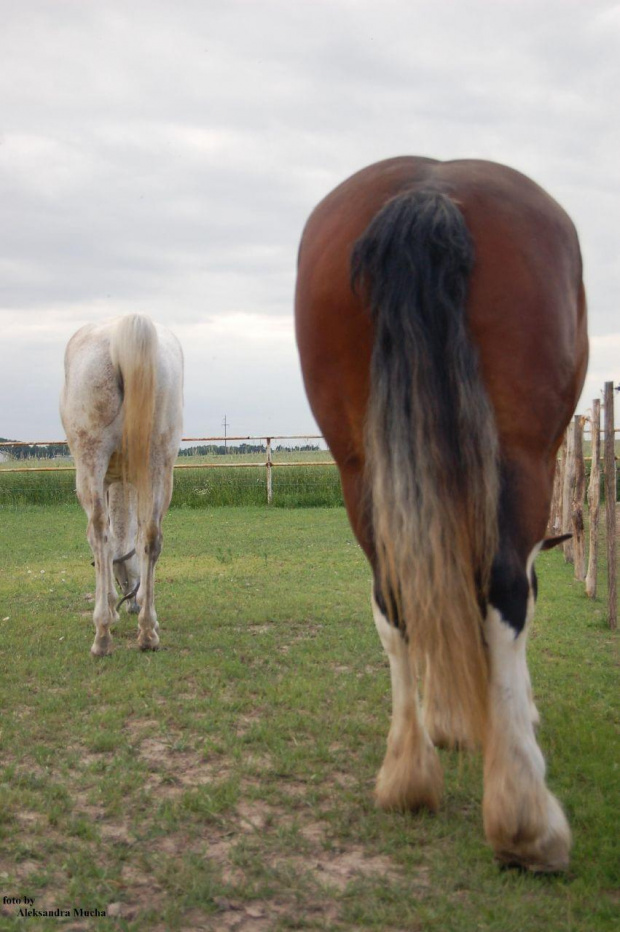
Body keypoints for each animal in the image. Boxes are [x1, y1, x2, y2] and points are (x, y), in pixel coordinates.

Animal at [59, 314, 183, 656]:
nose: (130, 603)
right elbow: (135, 536)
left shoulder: (104, 480)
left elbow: (108, 540)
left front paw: (111, 608)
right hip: (159, 464)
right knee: (151, 536)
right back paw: (148, 632)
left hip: (90, 461)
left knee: (99, 533)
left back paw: (102, 634)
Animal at [294, 157, 588, 872]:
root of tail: (429, 191)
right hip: (521, 459)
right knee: (506, 593)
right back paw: (524, 823)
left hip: (360, 470)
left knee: (394, 599)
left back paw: (408, 778)